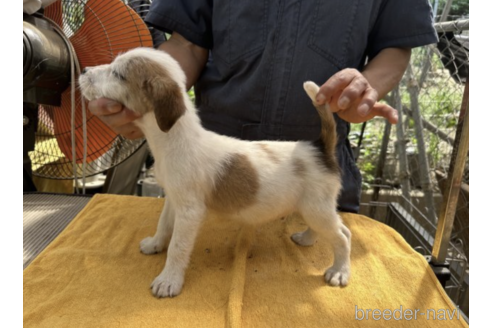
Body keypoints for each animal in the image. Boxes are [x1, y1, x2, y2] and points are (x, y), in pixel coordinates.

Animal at [79, 48, 352, 298]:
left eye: (117, 74)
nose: (83, 70)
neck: (175, 140)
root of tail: (319, 148)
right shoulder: (173, 200)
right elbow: (164, 225)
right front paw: (155, 244)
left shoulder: (190, 212)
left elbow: (177, 246)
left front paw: (168, 280)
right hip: (313, 209)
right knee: (338, 229)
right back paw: (307, 239)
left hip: (316, 208)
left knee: (343, 236)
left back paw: (339, 271)